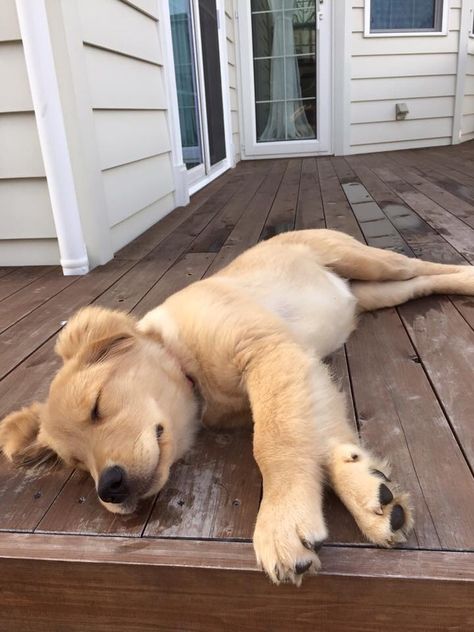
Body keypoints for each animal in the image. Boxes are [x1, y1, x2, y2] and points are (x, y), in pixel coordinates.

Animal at [0, 227, 474, 584]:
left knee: (424, 266)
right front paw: (367, 491)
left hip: (364, 260)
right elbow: (323, 440)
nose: (109, 488)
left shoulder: (269, 353)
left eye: (97, 406)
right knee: (418, 285)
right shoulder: (300, 368)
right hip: (375, 293)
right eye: (78, 464)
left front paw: (282, 519)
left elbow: (274, 440)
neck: (185, 360)